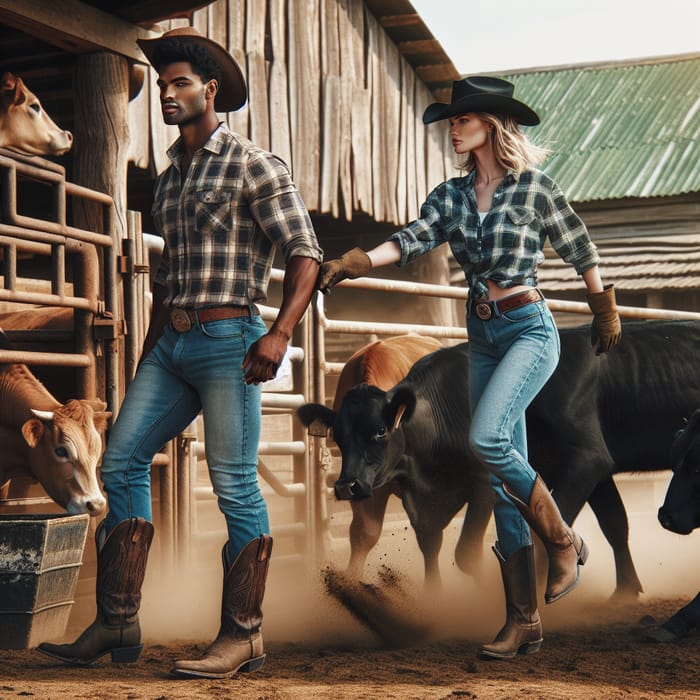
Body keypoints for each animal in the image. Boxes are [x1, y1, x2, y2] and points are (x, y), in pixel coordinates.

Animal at [300, 320, 700, 600]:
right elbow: (615, 524)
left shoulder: (574, 465)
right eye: (338, 436)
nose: (347, 485)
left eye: (381, 430)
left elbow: (475, 551)